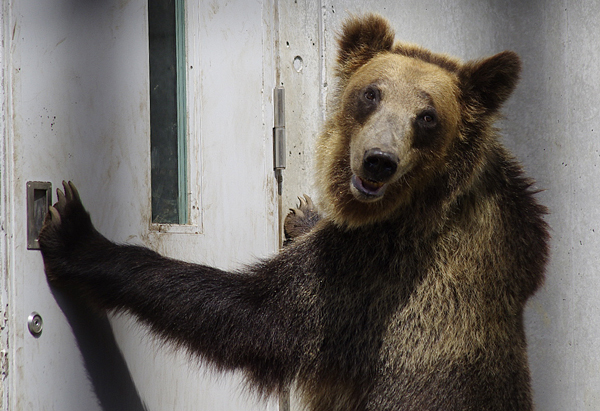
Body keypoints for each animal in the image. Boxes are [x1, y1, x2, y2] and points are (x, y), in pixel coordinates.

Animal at [39, 12, 552, 411]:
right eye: (373, 93)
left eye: (427, 116)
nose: (378, 161)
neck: (420, 200)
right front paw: (303, 215)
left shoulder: (375, 275)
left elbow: (256, 314)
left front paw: (75, 235)